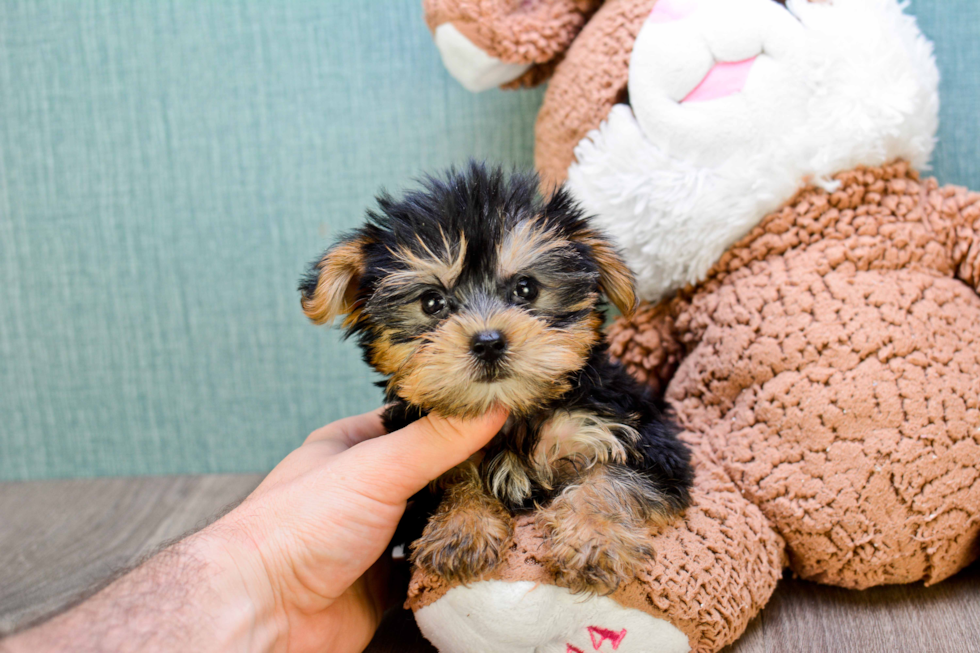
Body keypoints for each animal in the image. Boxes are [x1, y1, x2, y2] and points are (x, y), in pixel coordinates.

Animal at [302, 164, 692, 596]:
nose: (488, 342)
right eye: (432, 302)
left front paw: (594, 538)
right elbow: (454, 479)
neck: (512, 413)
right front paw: (462, 527)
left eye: (526, 288)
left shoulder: (640, 437)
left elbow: (610, 479)